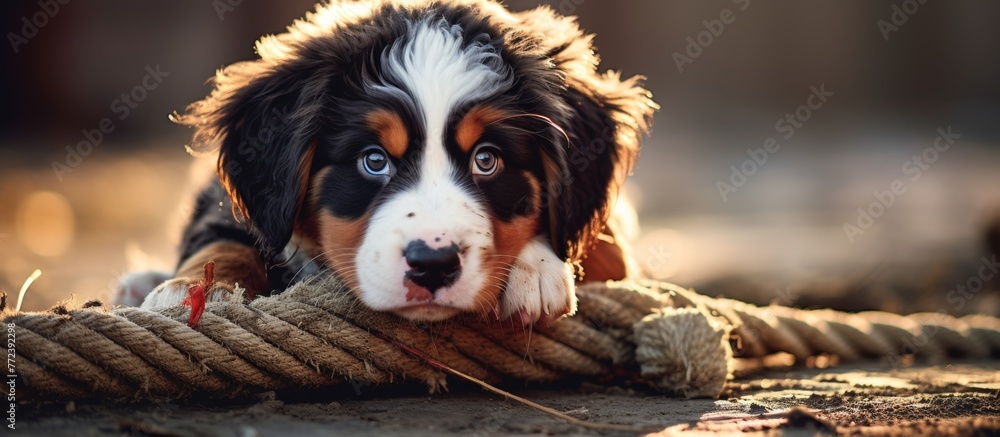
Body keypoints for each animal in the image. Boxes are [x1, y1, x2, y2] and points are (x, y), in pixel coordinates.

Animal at [123, 0, 656, 326]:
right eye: (374, 161)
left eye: (487, 160)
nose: (433, 266)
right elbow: (225, 239)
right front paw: (192, 290)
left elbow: (602, 245)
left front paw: (537, 269)